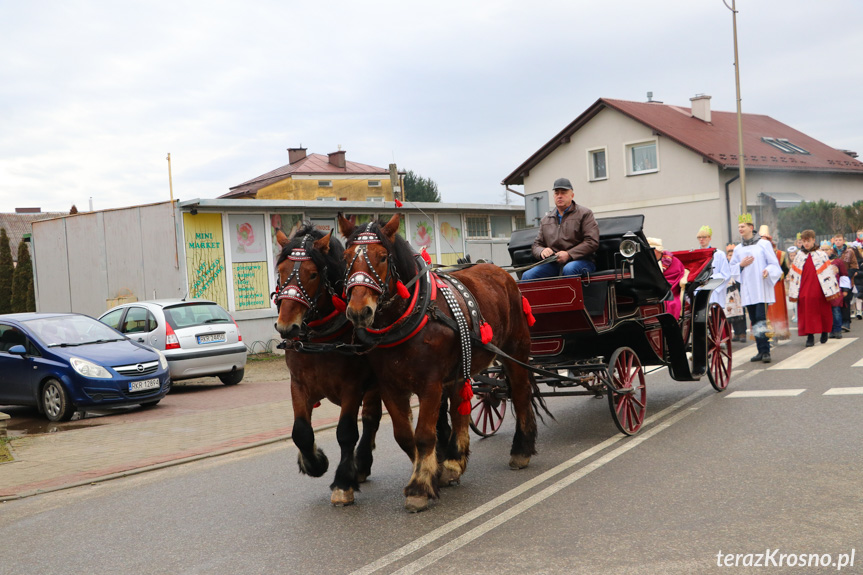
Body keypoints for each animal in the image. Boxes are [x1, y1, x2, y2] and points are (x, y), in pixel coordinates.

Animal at [272, 223, 384, 506]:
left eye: (312, 274)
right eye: (281, 271)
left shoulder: (352, 387)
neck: (322, 339)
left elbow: (346, 432)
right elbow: (301, 431)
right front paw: (313, 463)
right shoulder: (298, 385)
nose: (286, 326)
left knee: (371, 420)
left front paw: (343, 483)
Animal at [336, 214, 544, 510]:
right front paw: (433, 474)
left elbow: (424, 435)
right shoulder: (390, 386)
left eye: (382, 257)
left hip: (515, 352)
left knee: (520, 393)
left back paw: (521, 450)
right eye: (346, 258)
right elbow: (405, 436)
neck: (412, 315)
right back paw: (455, 462)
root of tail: (500, 272)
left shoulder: (430, 385)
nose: (358, 311)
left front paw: (419, 488)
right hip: (461, 368)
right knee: (460, 408)